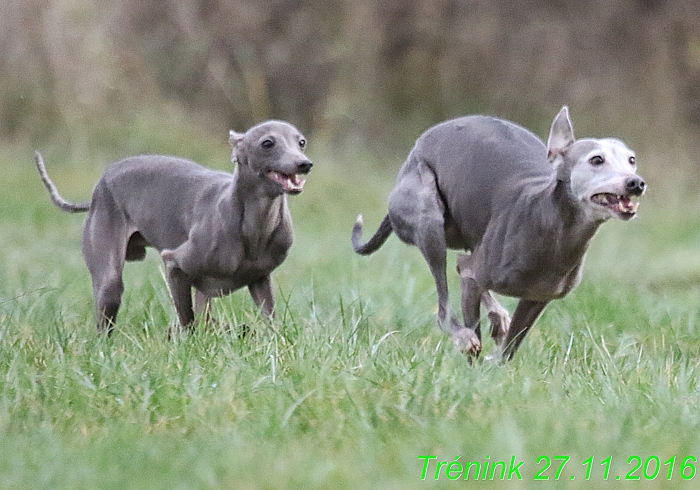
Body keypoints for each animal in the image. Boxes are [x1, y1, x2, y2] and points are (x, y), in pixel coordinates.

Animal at [36, 119, 312, 334]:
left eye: (301, 142)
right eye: (268, 143)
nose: (304, 164)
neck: (256, 226)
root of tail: (100, 185)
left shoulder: (260, 279)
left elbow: (271, 321)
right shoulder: (175, 264)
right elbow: (187, 320)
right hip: (108, 277)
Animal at [356, 107, 644, 360]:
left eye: (631, 160)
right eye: (596, 159)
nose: (636, 183)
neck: (550, 223)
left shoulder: (537, 297)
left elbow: (510, 348)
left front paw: (495, 363)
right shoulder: (475, 277)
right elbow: (474, 329)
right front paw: (473, 365)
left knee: (462, 264)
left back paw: (497, 317)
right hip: (428, 217)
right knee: (444, 302)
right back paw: (464, 333)